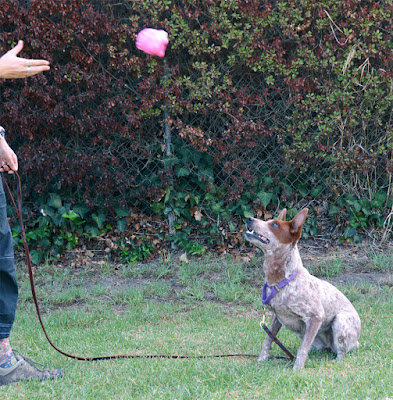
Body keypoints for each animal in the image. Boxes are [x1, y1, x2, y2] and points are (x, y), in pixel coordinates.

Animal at [247, 208, 360, 370]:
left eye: (274, 225)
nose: (248, 218)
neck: (282, 281)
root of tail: (357, 342)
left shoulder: (316, 317)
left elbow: (303, 348)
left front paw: (297, 369)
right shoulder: (276, 316)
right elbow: (268, 339)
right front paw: (261, 360)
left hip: (340, 321)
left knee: (341, 351)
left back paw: (335, 361)